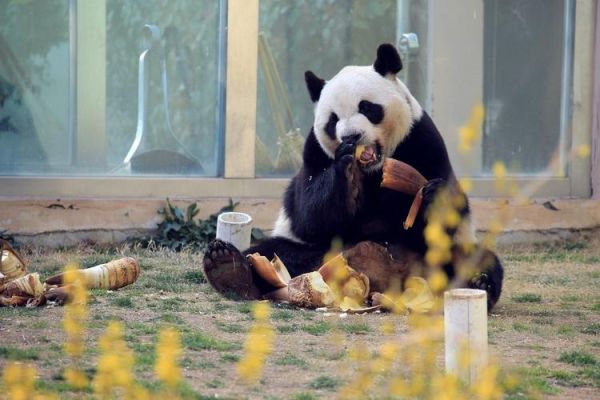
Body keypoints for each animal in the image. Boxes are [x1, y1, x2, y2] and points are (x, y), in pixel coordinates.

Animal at [204, 44, 504, 310]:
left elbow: (442, 217)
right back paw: (227, 268)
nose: (351, 136)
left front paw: (432, 196)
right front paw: (346, 173)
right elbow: (309, 212)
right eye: (333, 120)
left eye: (367, 107)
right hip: (315, 253)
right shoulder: (314, 152)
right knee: (273, 251)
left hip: (439, 257)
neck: (373, 170)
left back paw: (480, 283)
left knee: (480, 260)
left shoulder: (422, 141)